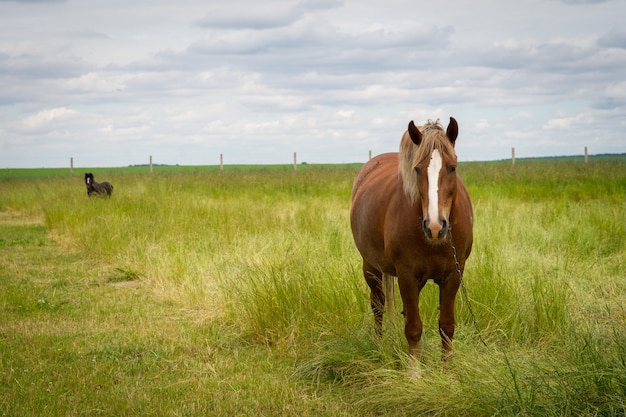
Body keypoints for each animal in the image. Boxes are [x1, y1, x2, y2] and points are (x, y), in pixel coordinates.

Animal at [348, 118, 470, 358]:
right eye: (417, 169)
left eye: (452, 167)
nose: (435, 226)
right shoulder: (407, 276)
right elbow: (413, 328)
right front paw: (414, 368)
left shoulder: (453, 275)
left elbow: (446, 327)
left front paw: (448, 367)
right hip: (371, 267)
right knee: (378, 304)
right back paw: (379, 346)